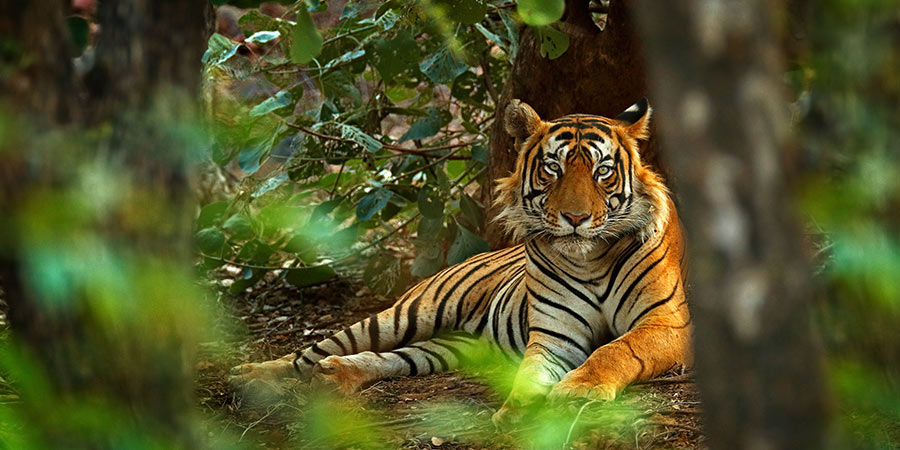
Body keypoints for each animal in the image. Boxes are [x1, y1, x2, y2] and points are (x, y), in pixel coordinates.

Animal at [230, 98, 692, 427]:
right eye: (553, 168)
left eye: (603, 172)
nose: (575, 218)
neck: (589, 259)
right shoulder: (554, 336)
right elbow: (530, 374)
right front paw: (517, 412)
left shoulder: (667, 323)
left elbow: (616, 349)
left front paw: (577, 391)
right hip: (408, 314)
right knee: (313, 351)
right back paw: (252, 374)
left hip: (453, 346)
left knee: (394, 358)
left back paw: (336, 375)